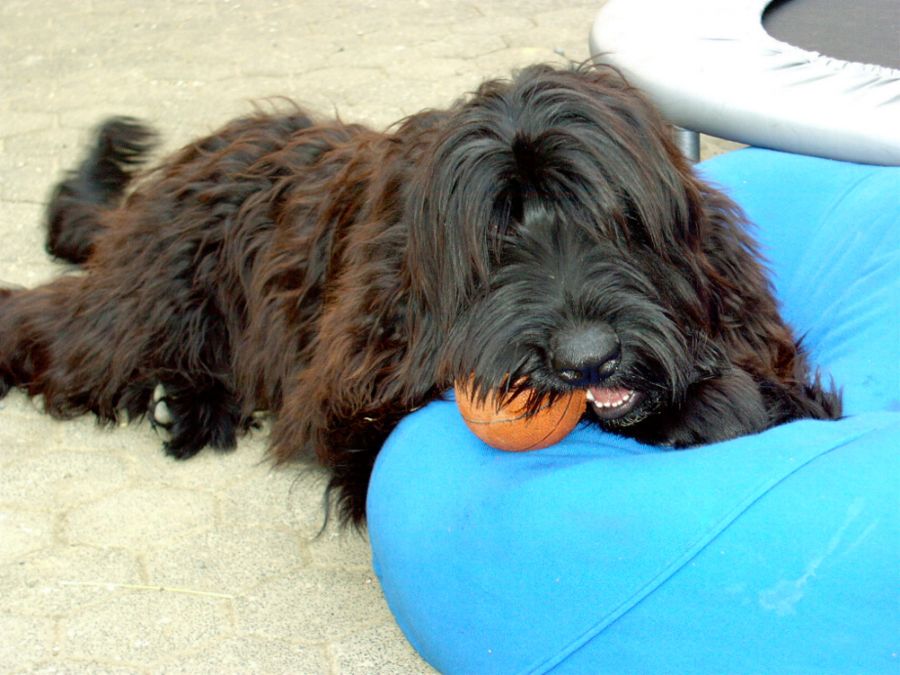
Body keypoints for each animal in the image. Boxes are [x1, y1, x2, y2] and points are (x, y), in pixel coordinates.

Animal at [0, 64, 840, 524]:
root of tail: (188, 156)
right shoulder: (347, 389)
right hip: (144, 305)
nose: (587, 359)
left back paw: (191, 403)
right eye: (500, 242)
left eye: (619, 222)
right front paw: (699, 407)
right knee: (57, 328)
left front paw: (714, 399)